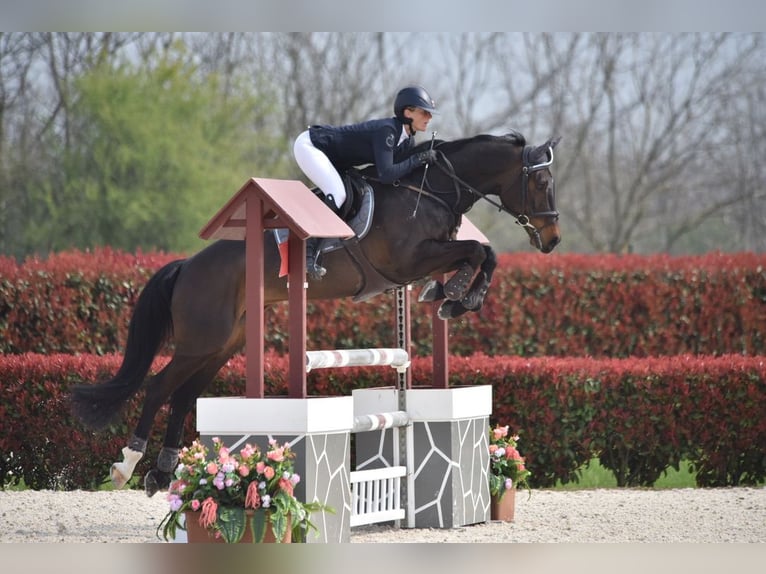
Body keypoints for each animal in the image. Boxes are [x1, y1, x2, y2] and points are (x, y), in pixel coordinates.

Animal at [70, 128, 564, 498]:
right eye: (541, 184)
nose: (553, 240)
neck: (431, 190)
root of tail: (186, 266)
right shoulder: (409, 260)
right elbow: (479, 251)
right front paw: (458, 296)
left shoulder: (427, 257)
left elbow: (482, 253)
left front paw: (453, 296)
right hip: (201, 340)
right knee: (158, 388)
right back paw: (127, 466)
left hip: (223, 343)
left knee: (183, 395)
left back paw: (162, 470)